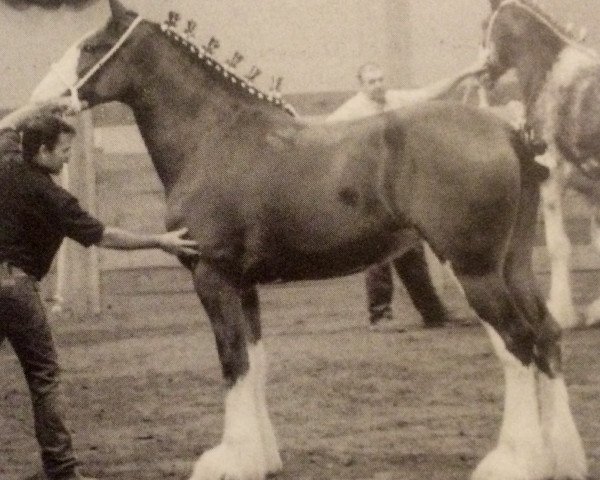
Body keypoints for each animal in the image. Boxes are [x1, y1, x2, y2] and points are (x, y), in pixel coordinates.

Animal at [32, 0, 584, 480]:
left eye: (91, 46)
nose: (41, 98)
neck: (214, 137)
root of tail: (507, 131)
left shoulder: (213, 277)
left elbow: (232, 361)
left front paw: (229, 460)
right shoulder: (243, 284)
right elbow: (255, 362)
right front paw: (261, 458)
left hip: (477, 270)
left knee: (518, 344)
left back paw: (514, 461)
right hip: (513, 264)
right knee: (547, 335)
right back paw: (563, 458)